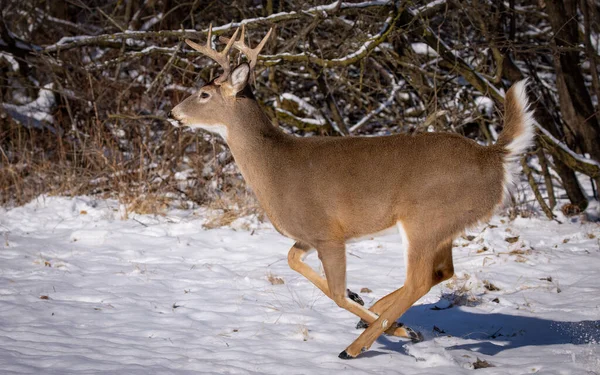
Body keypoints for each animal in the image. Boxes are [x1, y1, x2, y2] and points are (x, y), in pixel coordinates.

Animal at [168, 25, 536, 360]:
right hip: (445, 226)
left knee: (420, 279)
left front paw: (384, 322)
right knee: (443, 272)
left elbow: (334, 292)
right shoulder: (309, 235)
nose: (173, 113)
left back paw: (356, 346)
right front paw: (375, 311)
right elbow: (292, 261)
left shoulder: (328, 233)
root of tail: (495, 156)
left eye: (204, 94)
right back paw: (381, 319)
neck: (275, 168)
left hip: (425, 218)